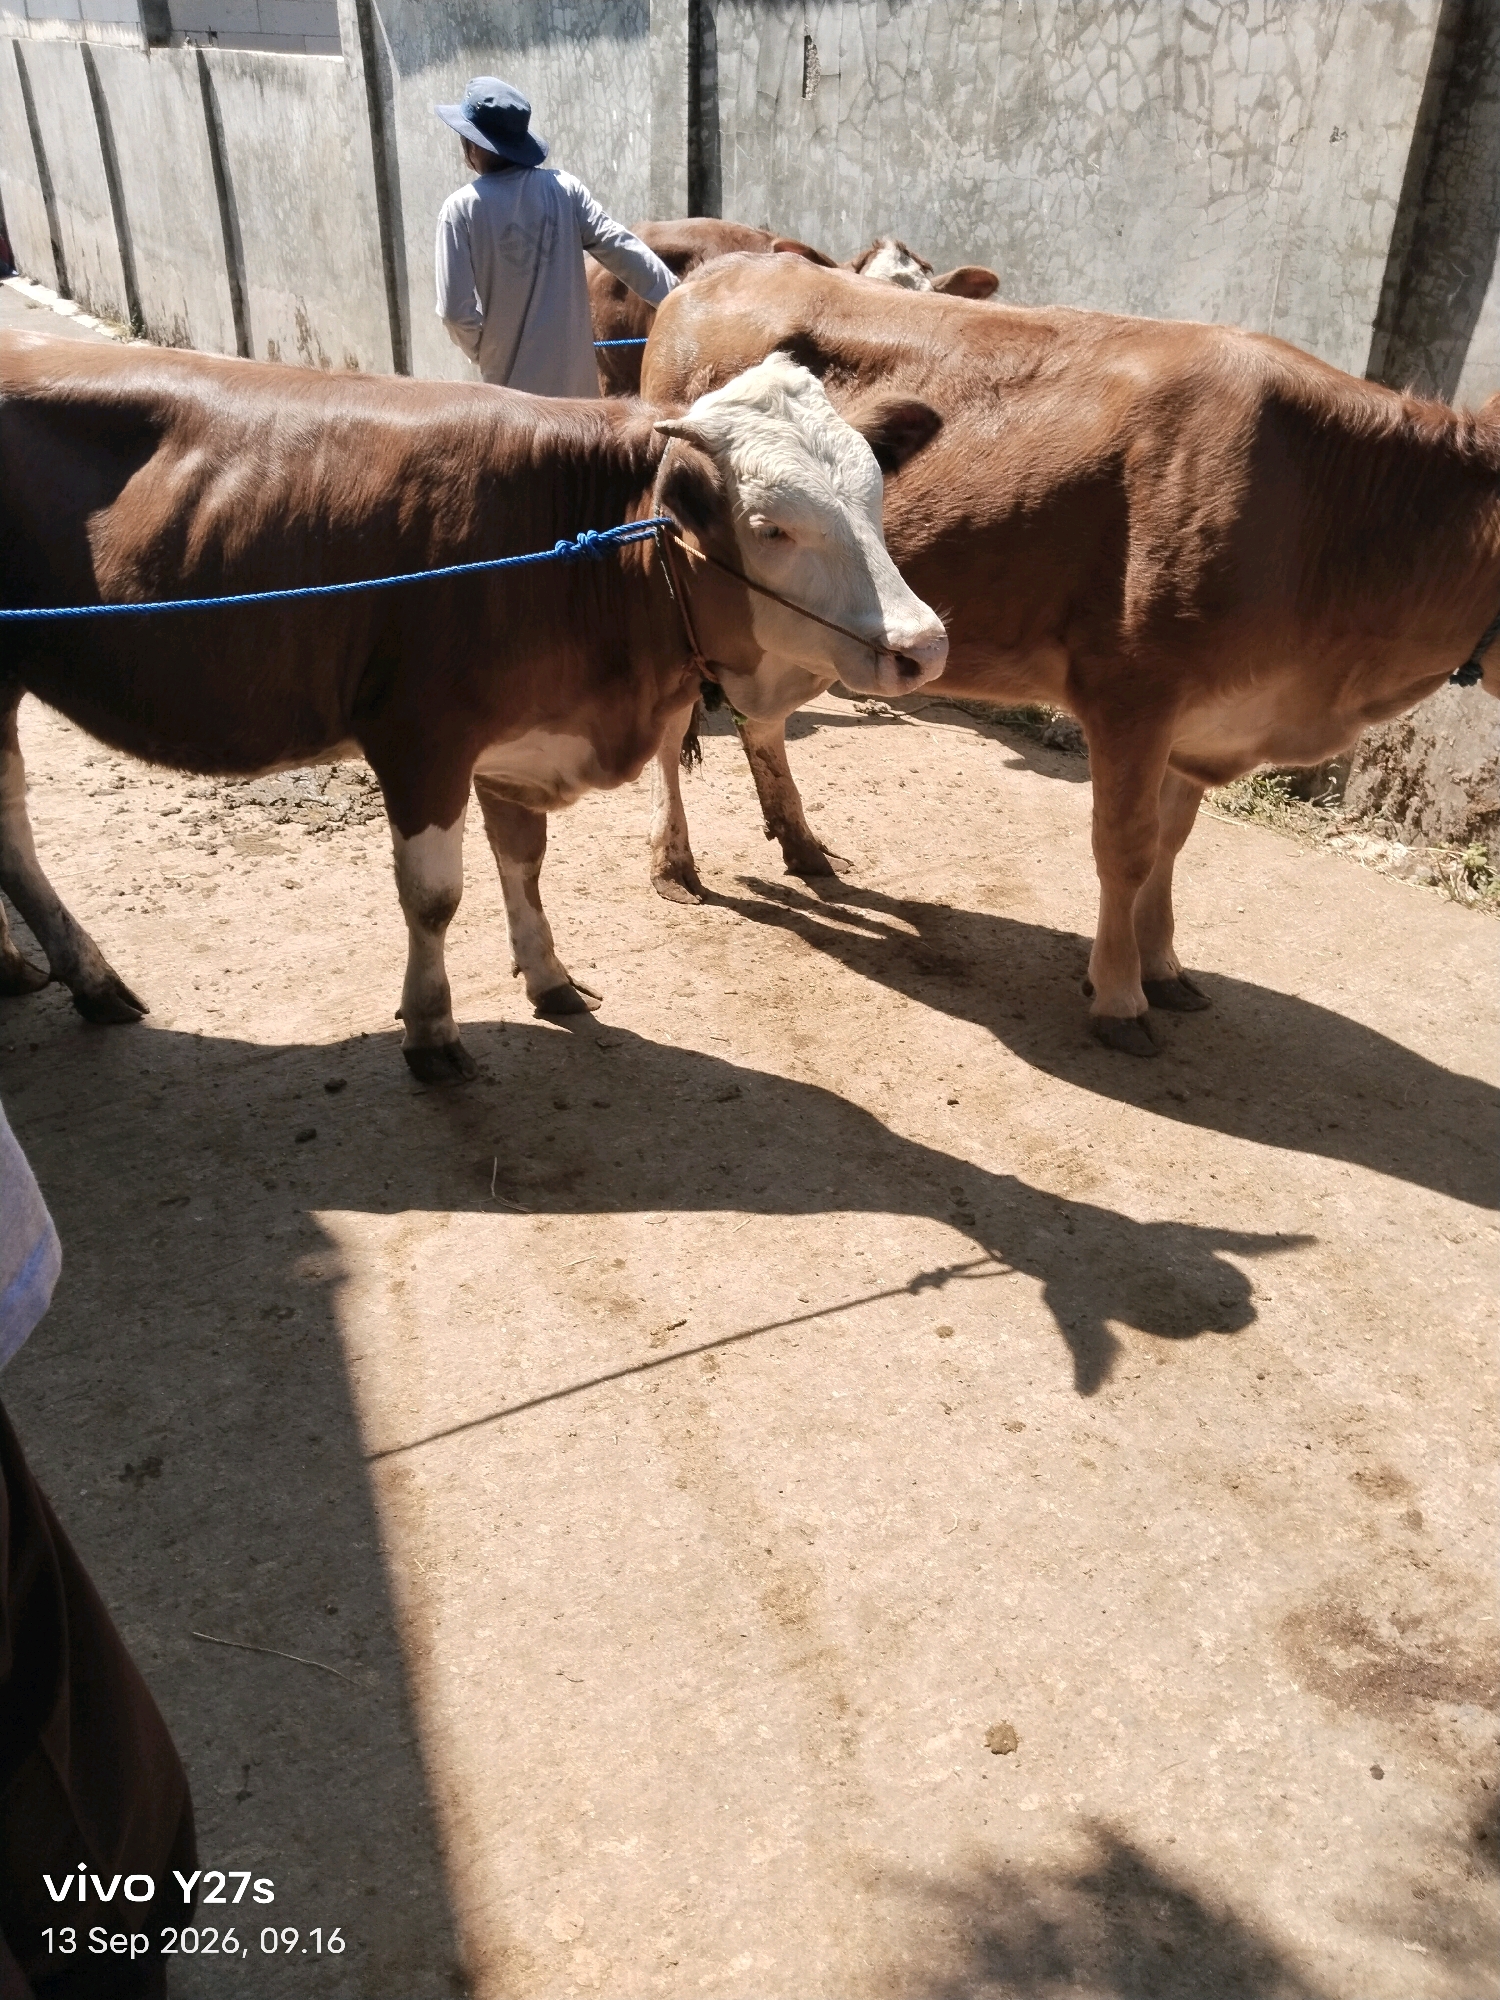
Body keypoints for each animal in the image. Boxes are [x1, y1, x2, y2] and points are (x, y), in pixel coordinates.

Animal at [0, 335, 947, 1079]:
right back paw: (88, 977)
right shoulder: (421, 739)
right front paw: (430, 1029)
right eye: (771, 526)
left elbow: (522, 864)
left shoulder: (516, 743)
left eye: (873, 495)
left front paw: (549, 978)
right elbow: (433, 898)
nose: (924, 643)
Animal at [640, 255, 1500, 1056]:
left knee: (760, 721)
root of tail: (724, 268)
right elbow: (1126, 847)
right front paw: (1119, 996)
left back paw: (801, 843)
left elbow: (1172, 843)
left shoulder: (1204, 719)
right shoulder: (1131, 692)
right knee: (674, 728)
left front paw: (1164, 966)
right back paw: (674, 865)